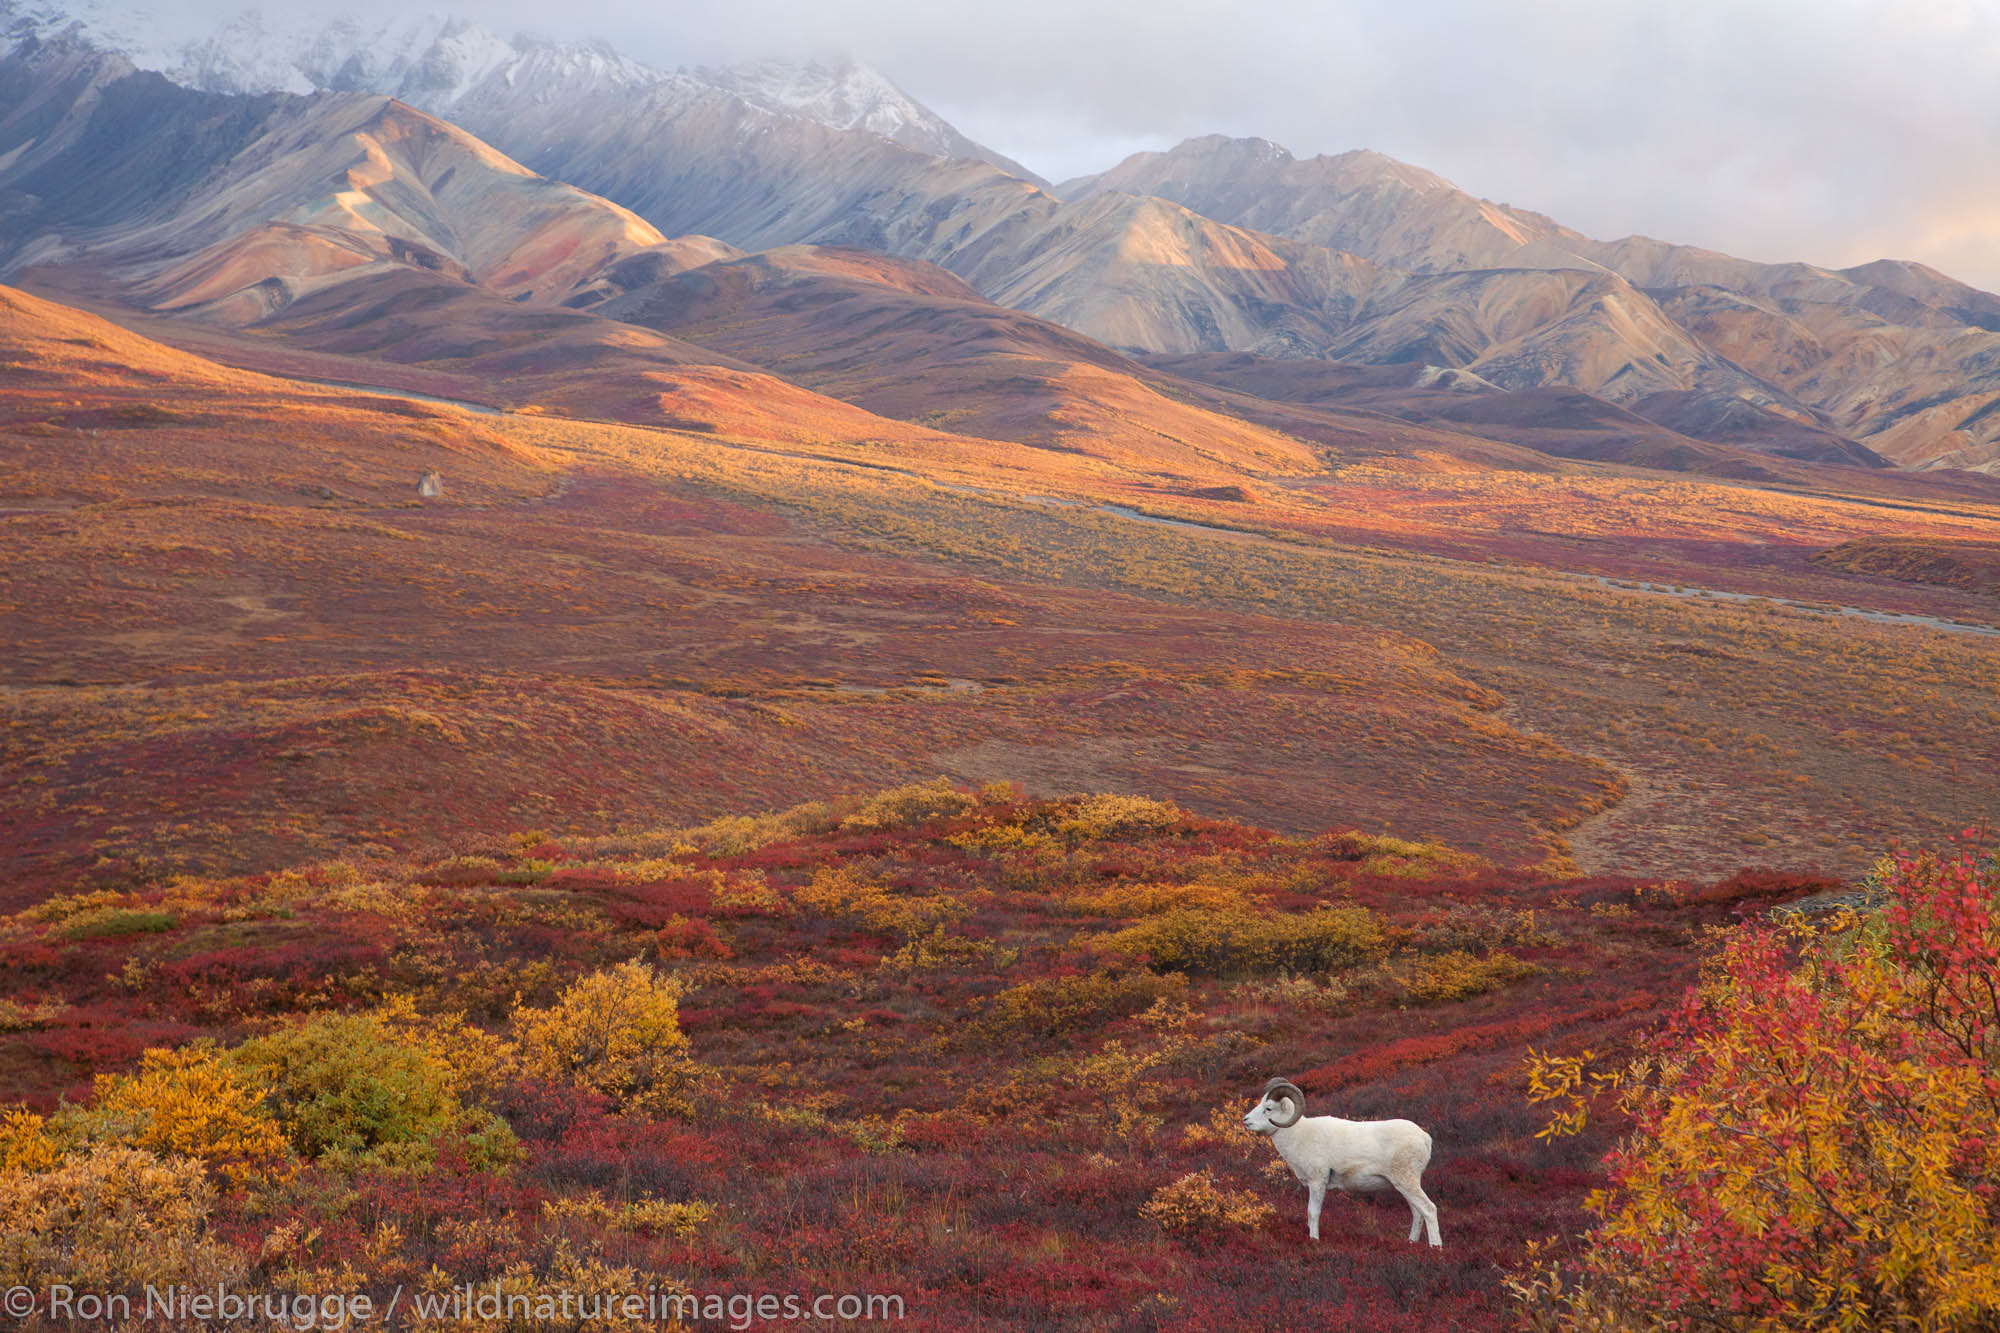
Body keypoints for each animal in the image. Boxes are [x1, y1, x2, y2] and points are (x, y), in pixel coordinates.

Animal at [1232, 1072, 1440, 1248]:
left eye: (1268, 1108)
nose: (1246, 1120)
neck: (1299, 1135)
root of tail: (1424, 1138)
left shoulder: (1318, 1183)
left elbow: (1313, 1213)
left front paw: (1314, 1240)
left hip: (1407, 1182)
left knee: (1429, 1209)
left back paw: (1435, 1248)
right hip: (1404, 1186)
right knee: (1417, 1213)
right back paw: (1411, 1243)